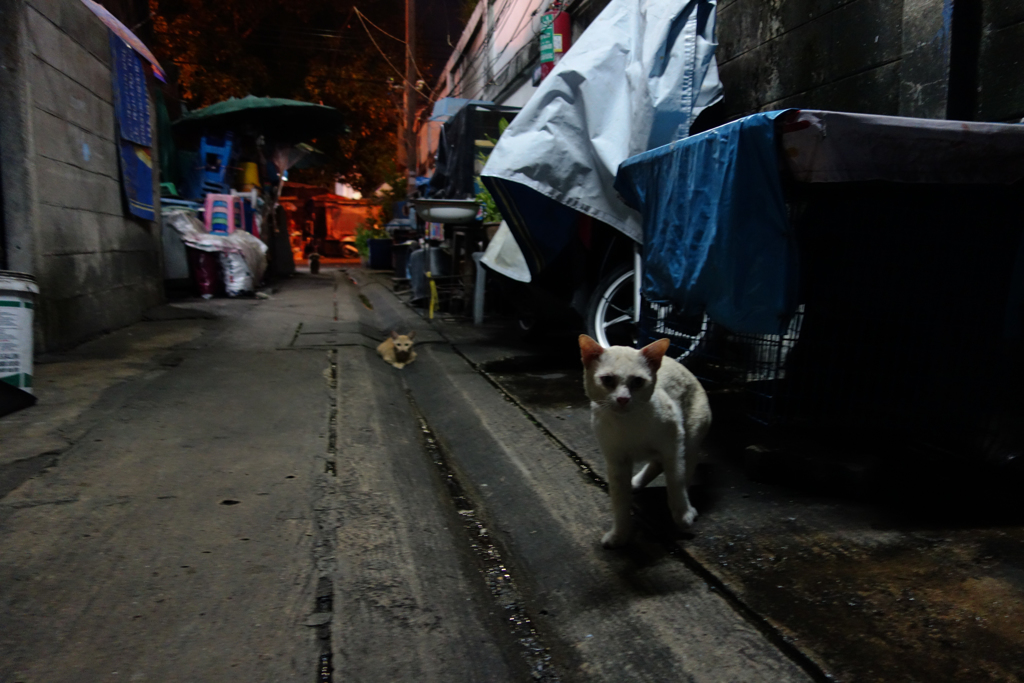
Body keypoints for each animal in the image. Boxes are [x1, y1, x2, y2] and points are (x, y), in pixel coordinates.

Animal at [577, 335, 712, 548]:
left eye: (638, 381)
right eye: (608, 380)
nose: (623, 399)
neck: (628, 423)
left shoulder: (673, 446)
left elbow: (676, 481)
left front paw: (683, 514)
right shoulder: (616, 461)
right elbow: (619, 501)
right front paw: (619, 536)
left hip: (689, 440)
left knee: (683, 471)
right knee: (656, 464)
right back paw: (636, 482)